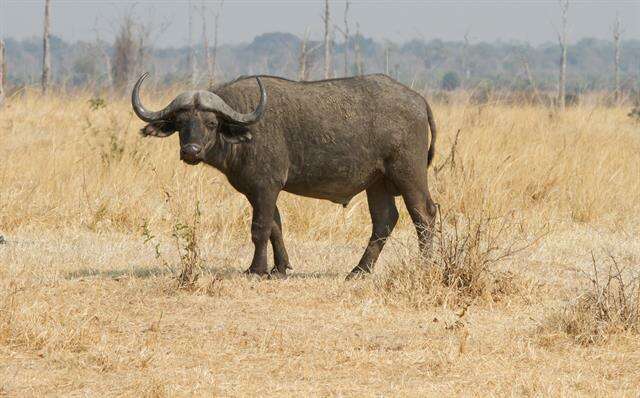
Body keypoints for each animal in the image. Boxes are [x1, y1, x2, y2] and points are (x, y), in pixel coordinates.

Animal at [132, 73, 438, 278]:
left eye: (210, 123)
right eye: (181, 123)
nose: (191, 151)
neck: (244, 132)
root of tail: (419, 99)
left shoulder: (265, 187)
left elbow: (259, 228)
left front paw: (256, 269)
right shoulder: (257, 191)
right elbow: (275, 226)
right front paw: (280, 268)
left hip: (408, 173)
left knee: (424, 214)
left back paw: (424, 265)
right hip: (377, 182)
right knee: (385, 220)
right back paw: (358, 270)